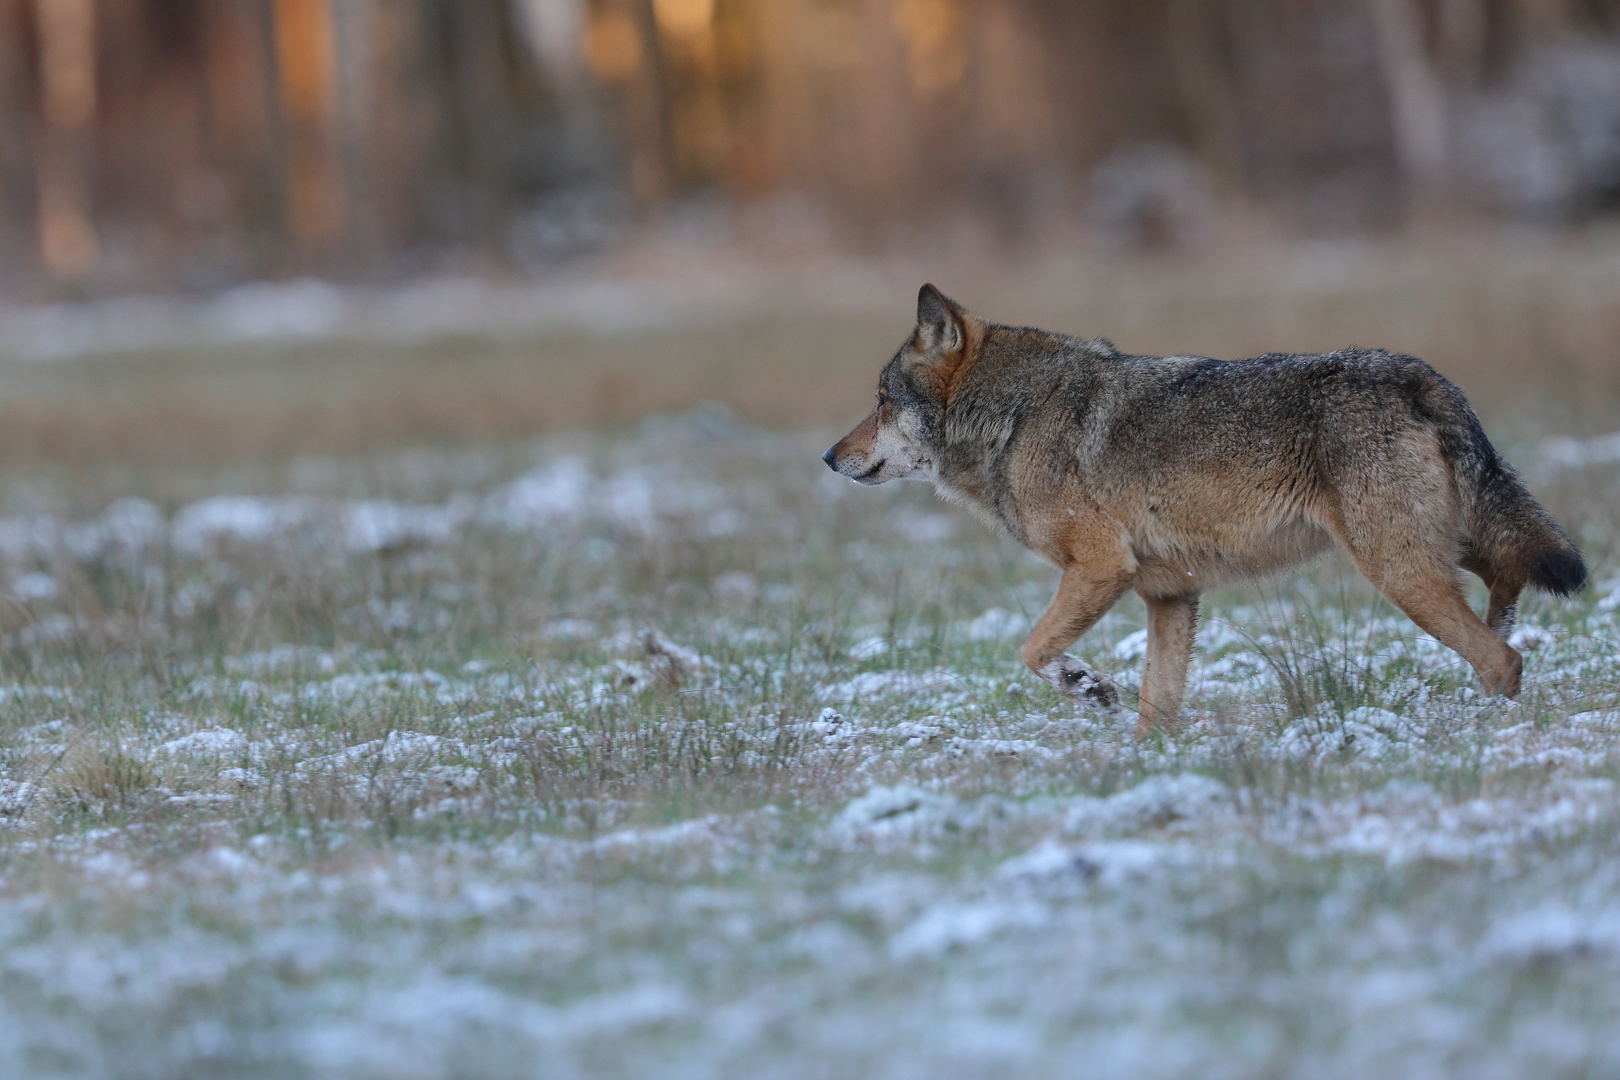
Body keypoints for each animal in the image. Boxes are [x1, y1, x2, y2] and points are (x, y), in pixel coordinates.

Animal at [822, 283, 1581, 738]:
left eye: (882, 401)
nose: (829, 457)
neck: (1014, 414)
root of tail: (1415, 371)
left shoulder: (1101, 567)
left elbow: (1033, 649)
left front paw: (1088, 687)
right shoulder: (1168, 596)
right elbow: (1155, 710)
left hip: (1399, 572)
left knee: (1503, 657)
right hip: (1446, 546)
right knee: (1511, 580)